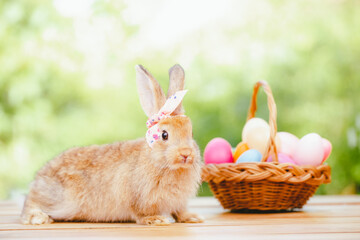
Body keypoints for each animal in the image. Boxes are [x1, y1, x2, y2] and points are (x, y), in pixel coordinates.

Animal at [21, 63, 204, 225]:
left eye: (191, 133)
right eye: (164, 135)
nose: (186, 154)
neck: (157, 159)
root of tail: (38, 178)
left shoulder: (179, 202)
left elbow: (179, 211)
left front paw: (192, 217)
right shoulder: (136, 198)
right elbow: (141, 213)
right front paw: (156, 220)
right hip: (54, 199)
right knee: (30, 204)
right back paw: (38, 218)